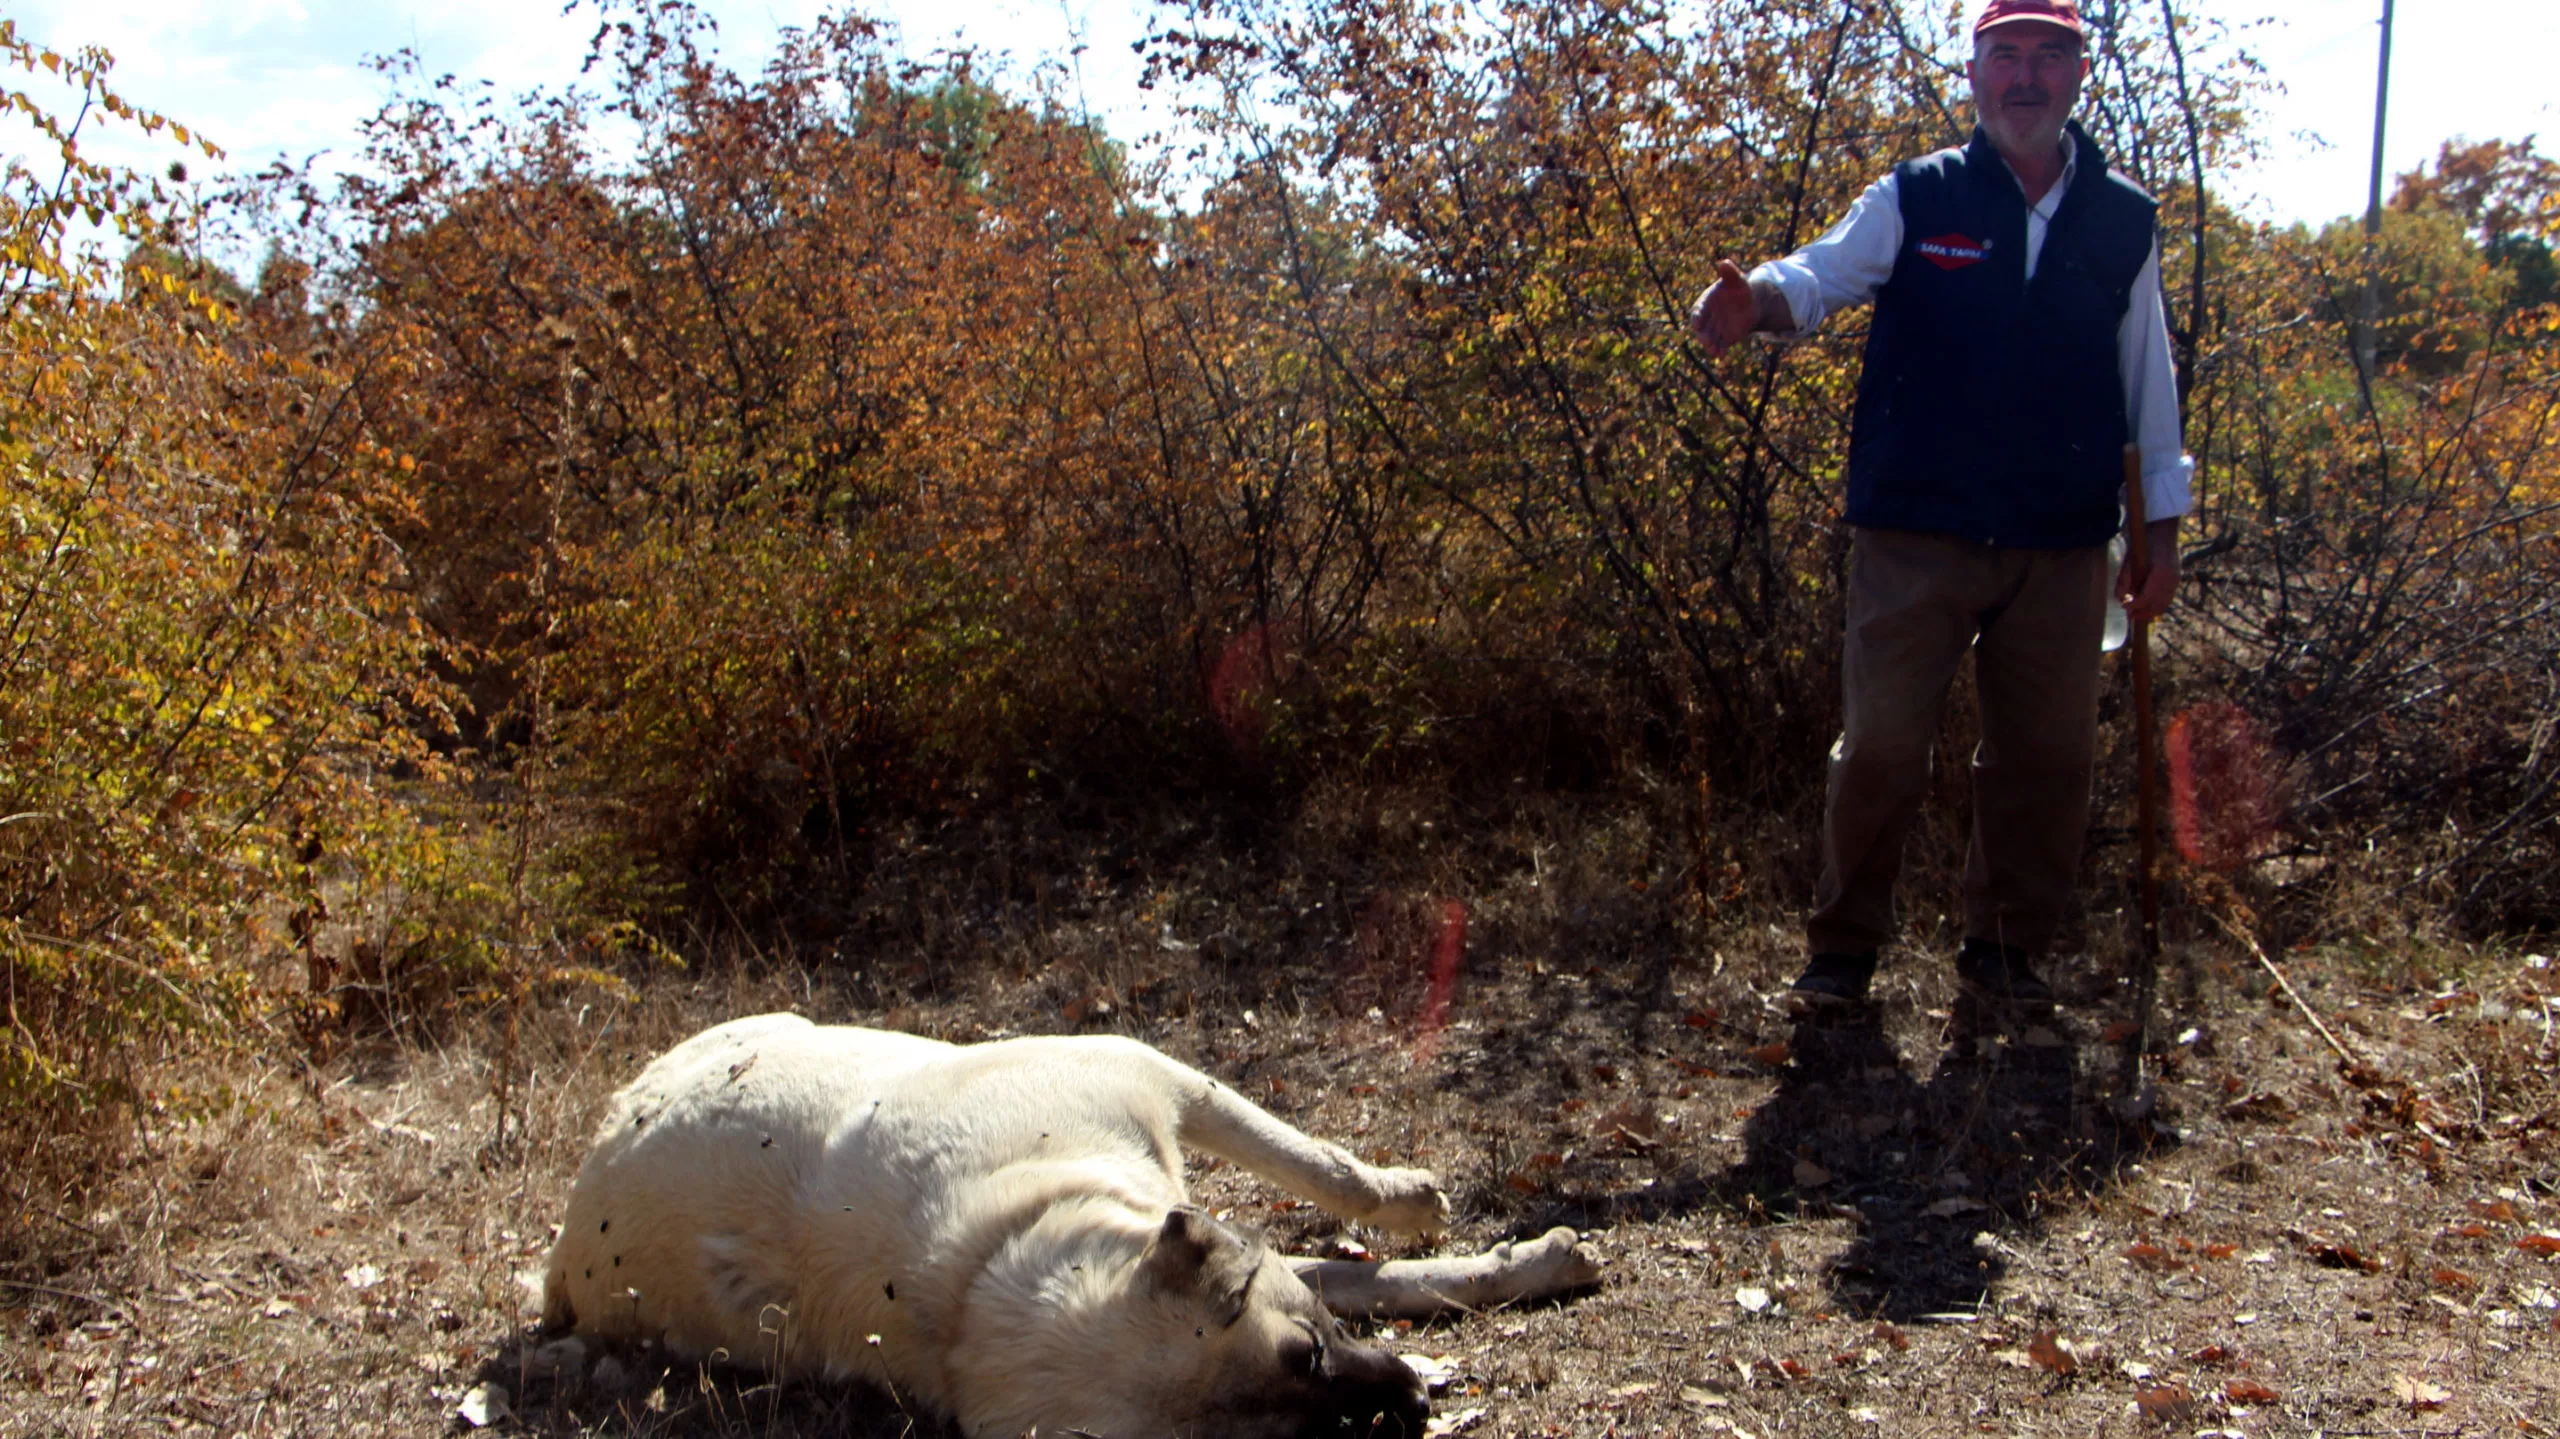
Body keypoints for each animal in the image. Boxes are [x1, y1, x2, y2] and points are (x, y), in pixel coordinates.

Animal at [542, 1013, 1597, 1423]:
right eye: (1271, 1434)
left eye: (1308, 1350)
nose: (1415, 1404)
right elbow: (1362, 1267)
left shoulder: (1156, 1076)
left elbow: (1338, 1180)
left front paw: (1437, 1211)